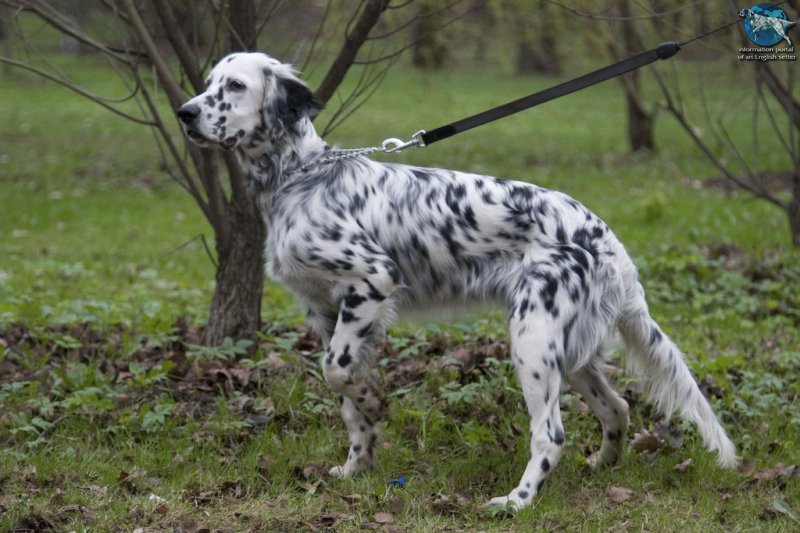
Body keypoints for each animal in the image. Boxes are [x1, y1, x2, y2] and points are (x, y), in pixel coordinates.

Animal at [177, 52, 738, 510]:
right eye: (207, 84)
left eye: (235, 86)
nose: (184, 113)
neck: (301, 178)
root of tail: (602, 235)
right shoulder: (324, 311)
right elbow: (345, 394)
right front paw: (358, 462)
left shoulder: (373, 279)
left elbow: (337, 372)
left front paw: (375, 404)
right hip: (570, 352)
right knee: (617, 407)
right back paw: (602, 466)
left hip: (532, 340)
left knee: (551, 433)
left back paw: (517, 501)